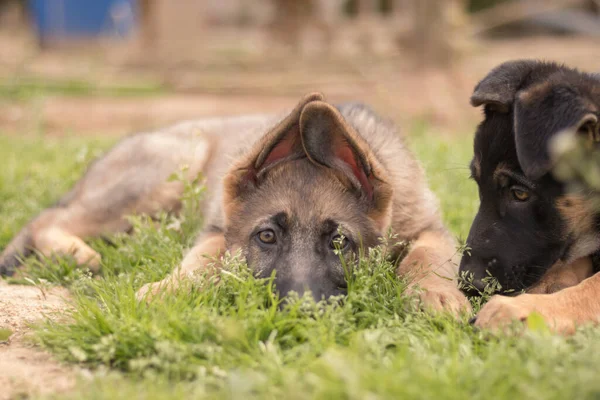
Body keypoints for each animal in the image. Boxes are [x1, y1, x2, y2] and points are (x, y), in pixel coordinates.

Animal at [0, 94, 468, 316]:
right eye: (267, 236)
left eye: (339, 242)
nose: (299, 311)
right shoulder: (215, 231)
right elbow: (200, 260)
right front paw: (168, 288)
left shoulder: (429, 227)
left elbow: (426, 258)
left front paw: (434, 295)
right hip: (172, 166)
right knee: (49, 217)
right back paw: (75, 253)